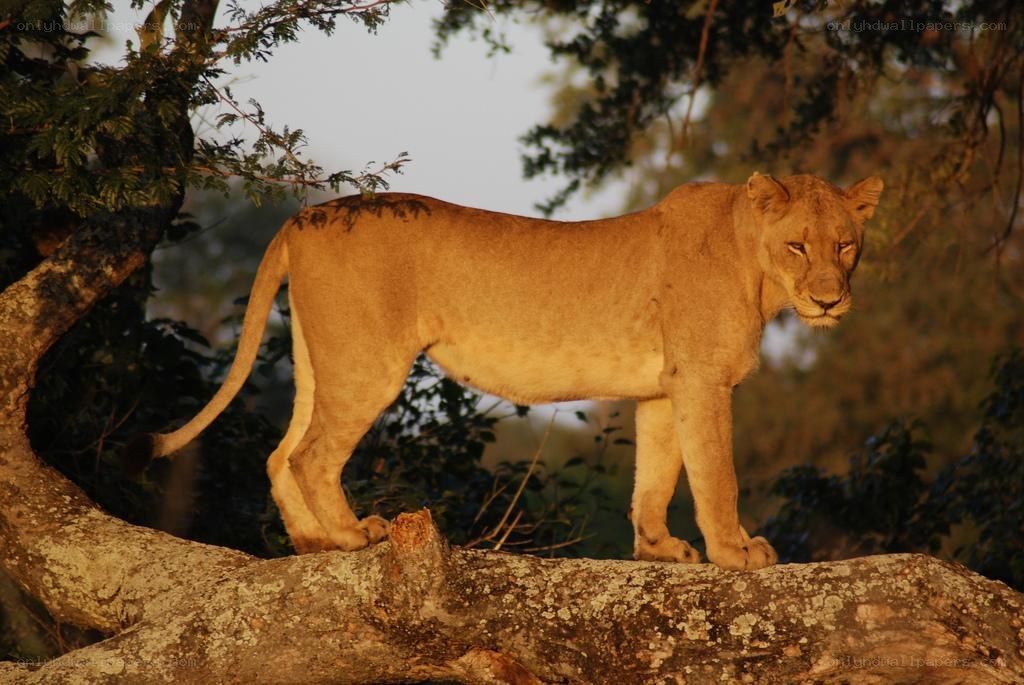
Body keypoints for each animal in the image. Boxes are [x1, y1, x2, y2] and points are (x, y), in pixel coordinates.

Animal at [127, 172, 883, 571]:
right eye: (797, 245)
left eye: (846, 245)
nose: (829, 298)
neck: (756, 267)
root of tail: (304, 216)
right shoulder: (702, 379)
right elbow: (715, 473)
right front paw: (736, 550)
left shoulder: (665, 388)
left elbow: (656, 475)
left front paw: (659, 548)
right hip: (369, 362)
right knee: (312, 454)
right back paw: (351, 536)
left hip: (323, 360)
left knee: (280, 450)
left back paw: (311, 542)